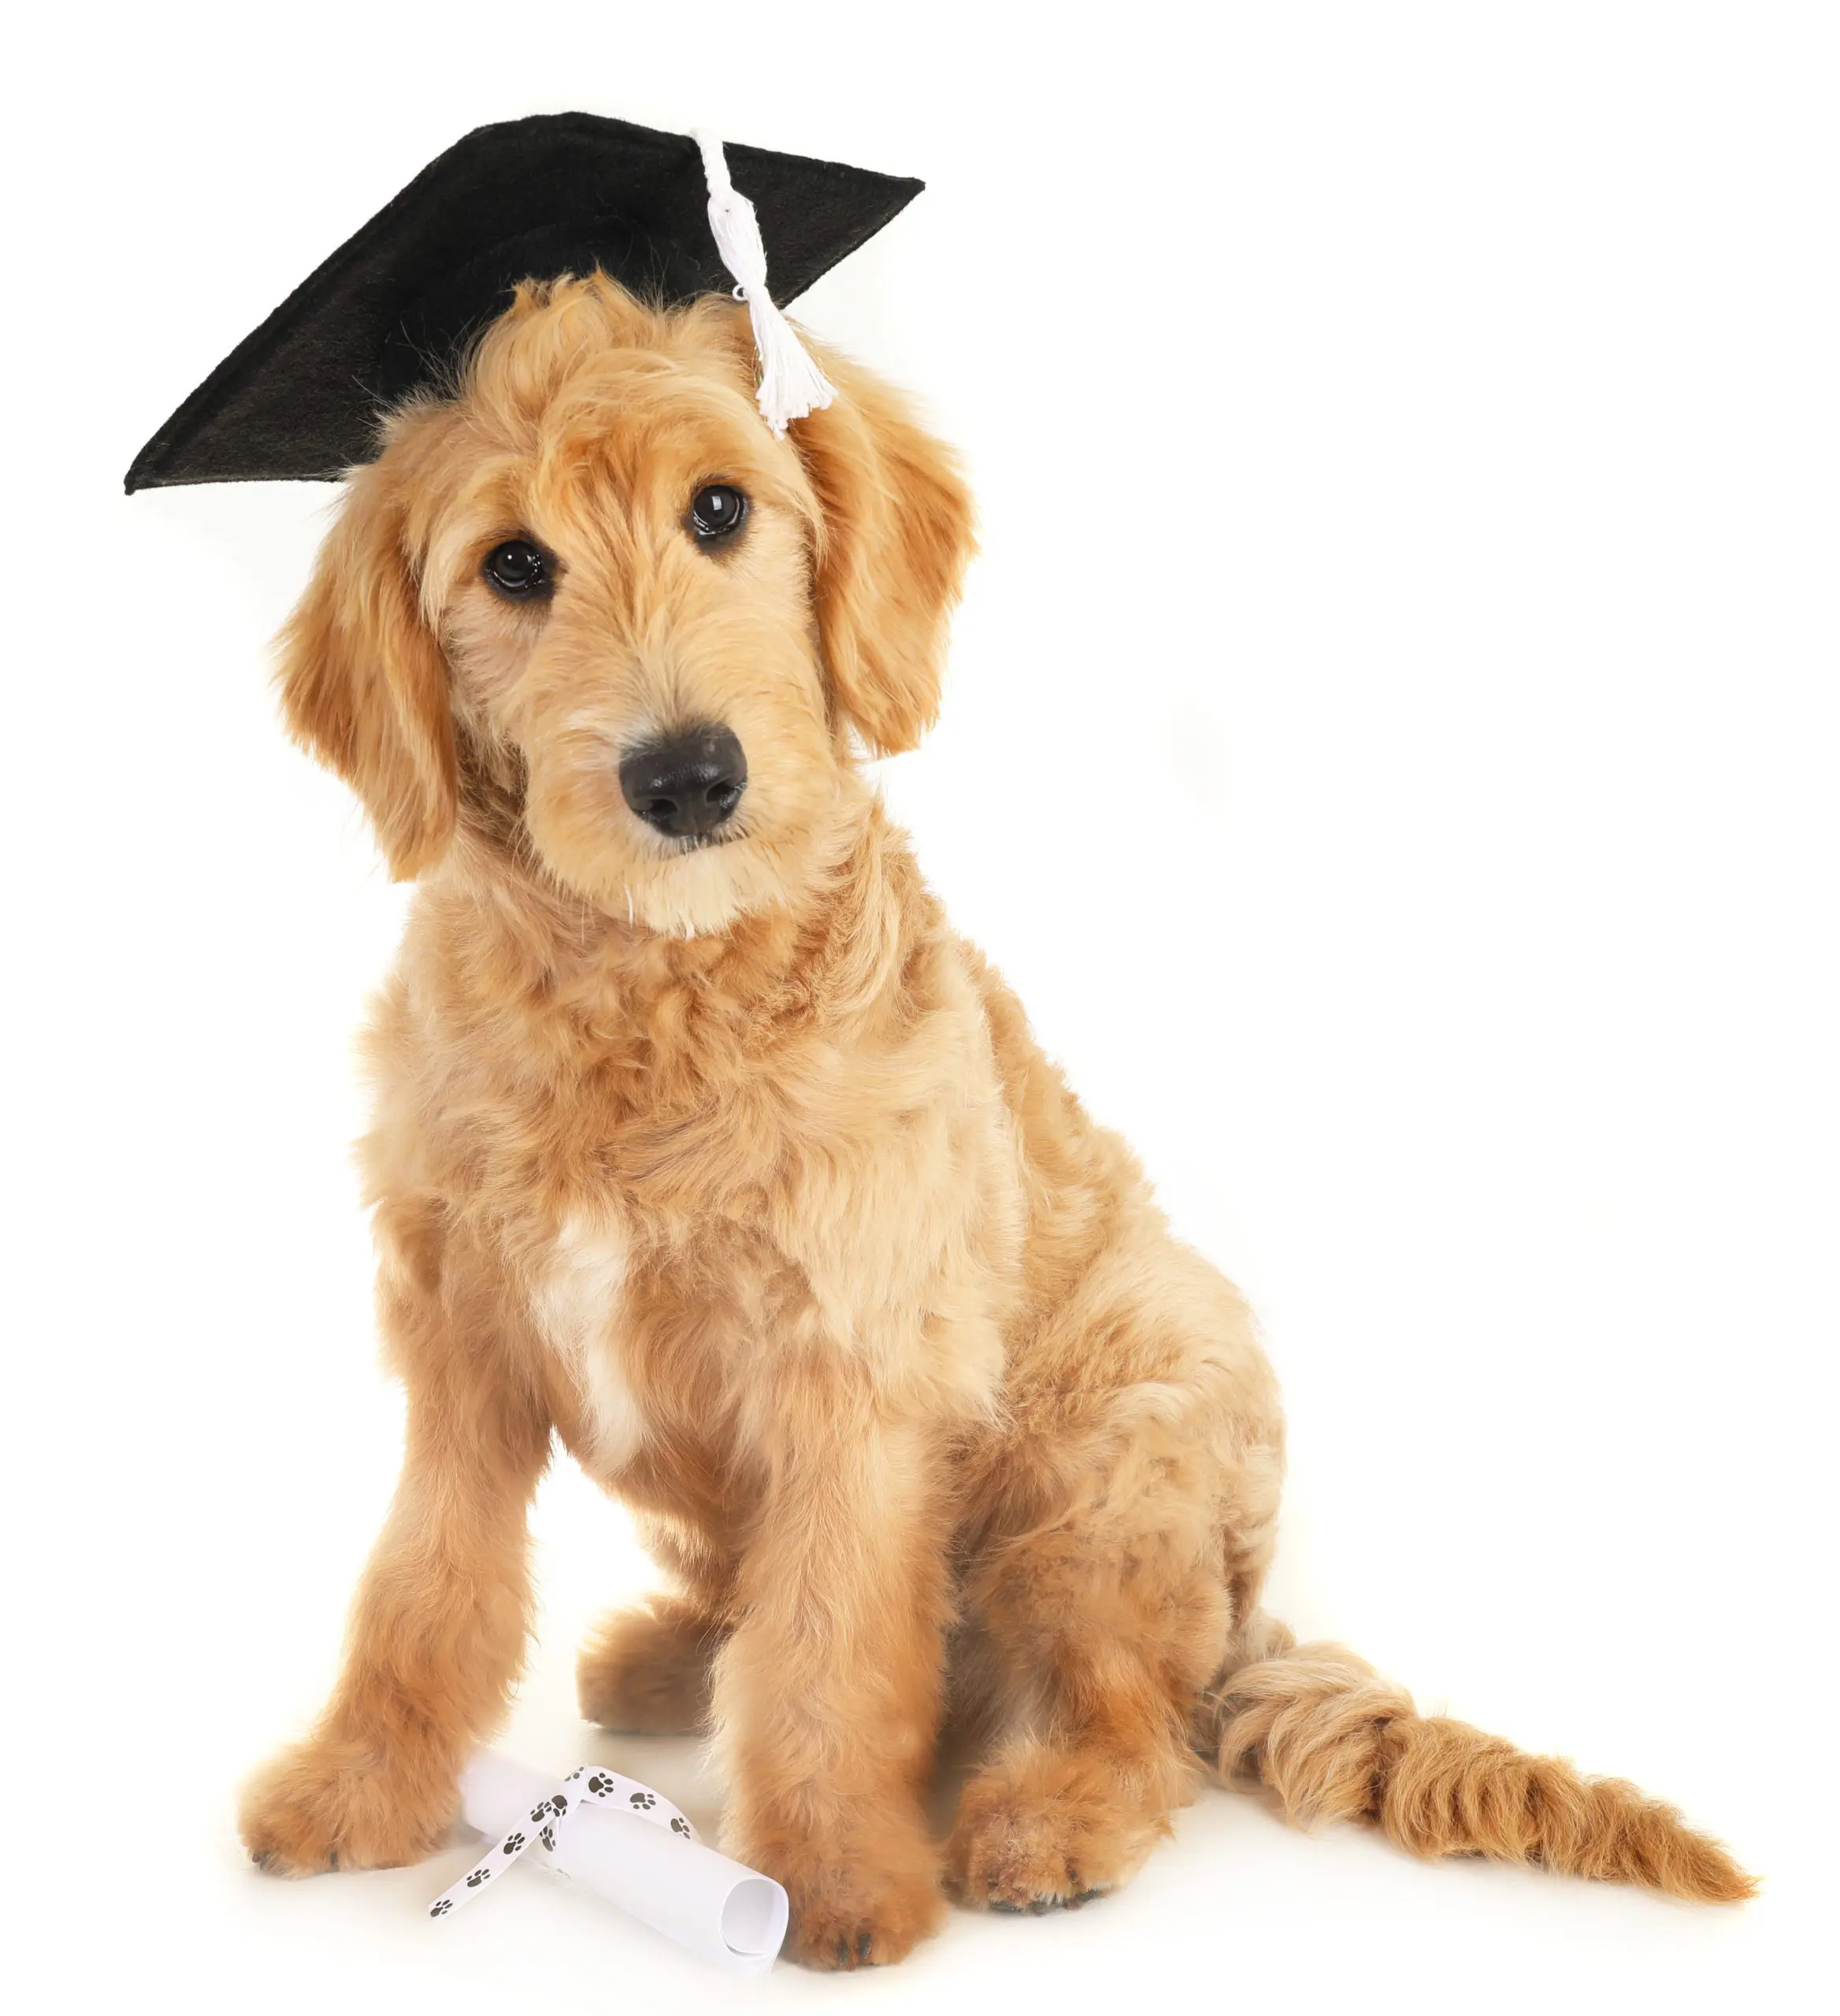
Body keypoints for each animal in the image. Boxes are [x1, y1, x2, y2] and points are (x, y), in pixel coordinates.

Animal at [236, 272, 1743, 1967]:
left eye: (718, 510)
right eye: (513, 563)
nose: (687, 778)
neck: (652, 990)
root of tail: (1243, 1624)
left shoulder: (853, 1373)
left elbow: (831, 1645)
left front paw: (830, 1880)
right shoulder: (463, 1344)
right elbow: (425, 1588)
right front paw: (363, 1781)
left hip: (1121, 1437)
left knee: (1121, 1713)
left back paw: (1052, 1816)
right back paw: (682, 1655)